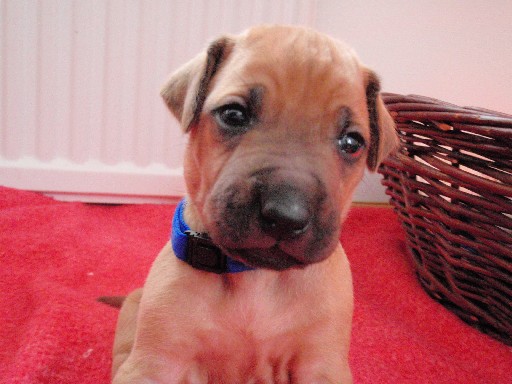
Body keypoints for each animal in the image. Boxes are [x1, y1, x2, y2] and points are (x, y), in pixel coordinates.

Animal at [112, 25, 398, 382]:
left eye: (352, 142)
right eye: (233, 114)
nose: (287, 216)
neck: (257, 278)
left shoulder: (321, 364)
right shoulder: (155, 362)